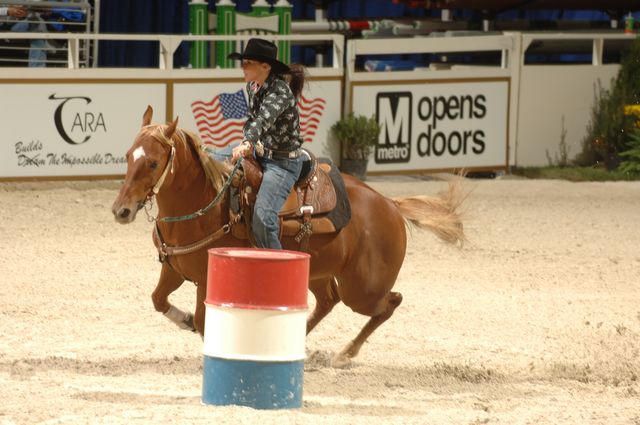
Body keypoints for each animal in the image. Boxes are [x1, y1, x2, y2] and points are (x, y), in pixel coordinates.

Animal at [111, 107, 464, 368]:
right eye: (128, 155)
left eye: (153, 162)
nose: (121, 210)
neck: (206, 205)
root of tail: (390, 204)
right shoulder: (173, 269)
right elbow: (159, 300)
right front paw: (183, 319)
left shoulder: (207, 279)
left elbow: (202, 317)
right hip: (319, 272)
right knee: (328, 301)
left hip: (364, 289)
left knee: (390, 303)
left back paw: (345, 354)